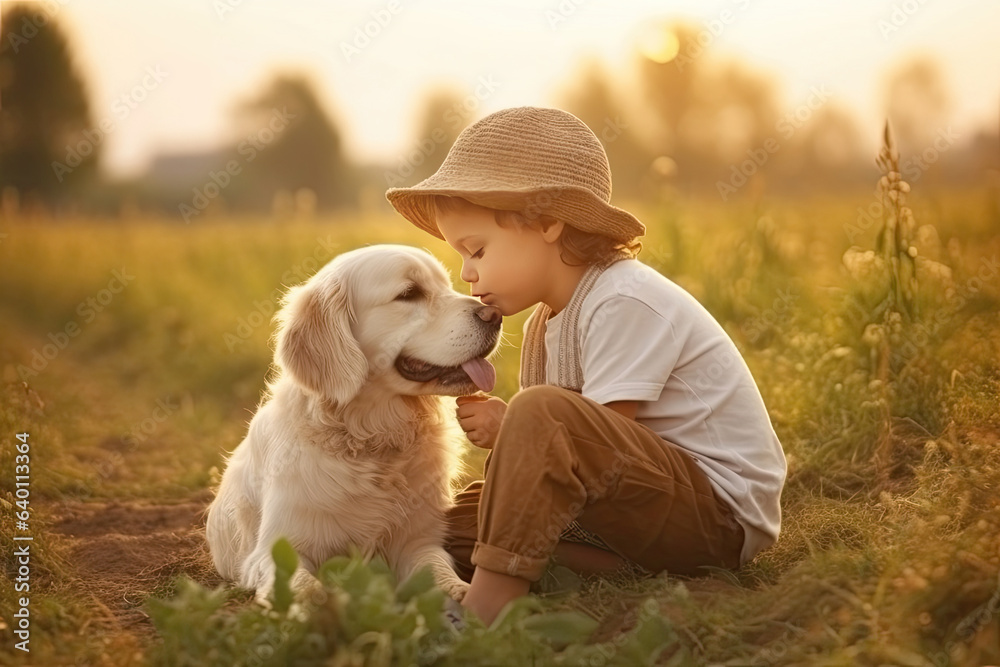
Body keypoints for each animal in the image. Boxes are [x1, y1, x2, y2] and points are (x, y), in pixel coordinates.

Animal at [205, 243, 500, 604]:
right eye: (409, 293)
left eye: (447, 285)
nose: (495, 314)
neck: (373, 440)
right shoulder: (274, 551)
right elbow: (303, 587)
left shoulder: (418, 542)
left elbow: (437, 571)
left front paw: (460, 592)